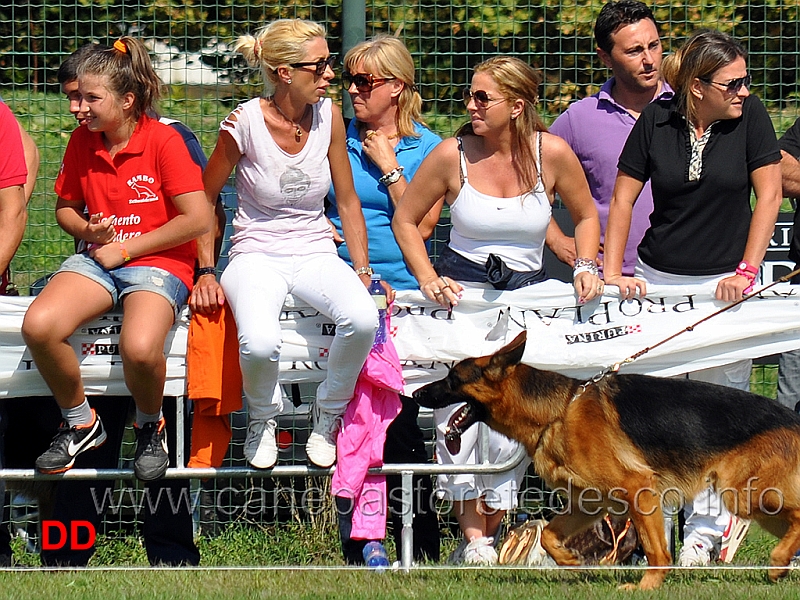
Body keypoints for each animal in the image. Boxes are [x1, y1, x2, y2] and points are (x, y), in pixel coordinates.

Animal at [416, 330, 800, 588]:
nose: (416, 393)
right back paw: (782, 565)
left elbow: (658, 551)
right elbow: (549, 536)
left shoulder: (639, 490)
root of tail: (791, 417)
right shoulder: (589, 503)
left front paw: (646, 588)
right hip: (759, 505)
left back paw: (779, 561)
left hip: (745, 496)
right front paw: (569, 562)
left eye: (452, 378)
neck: (558, 412)